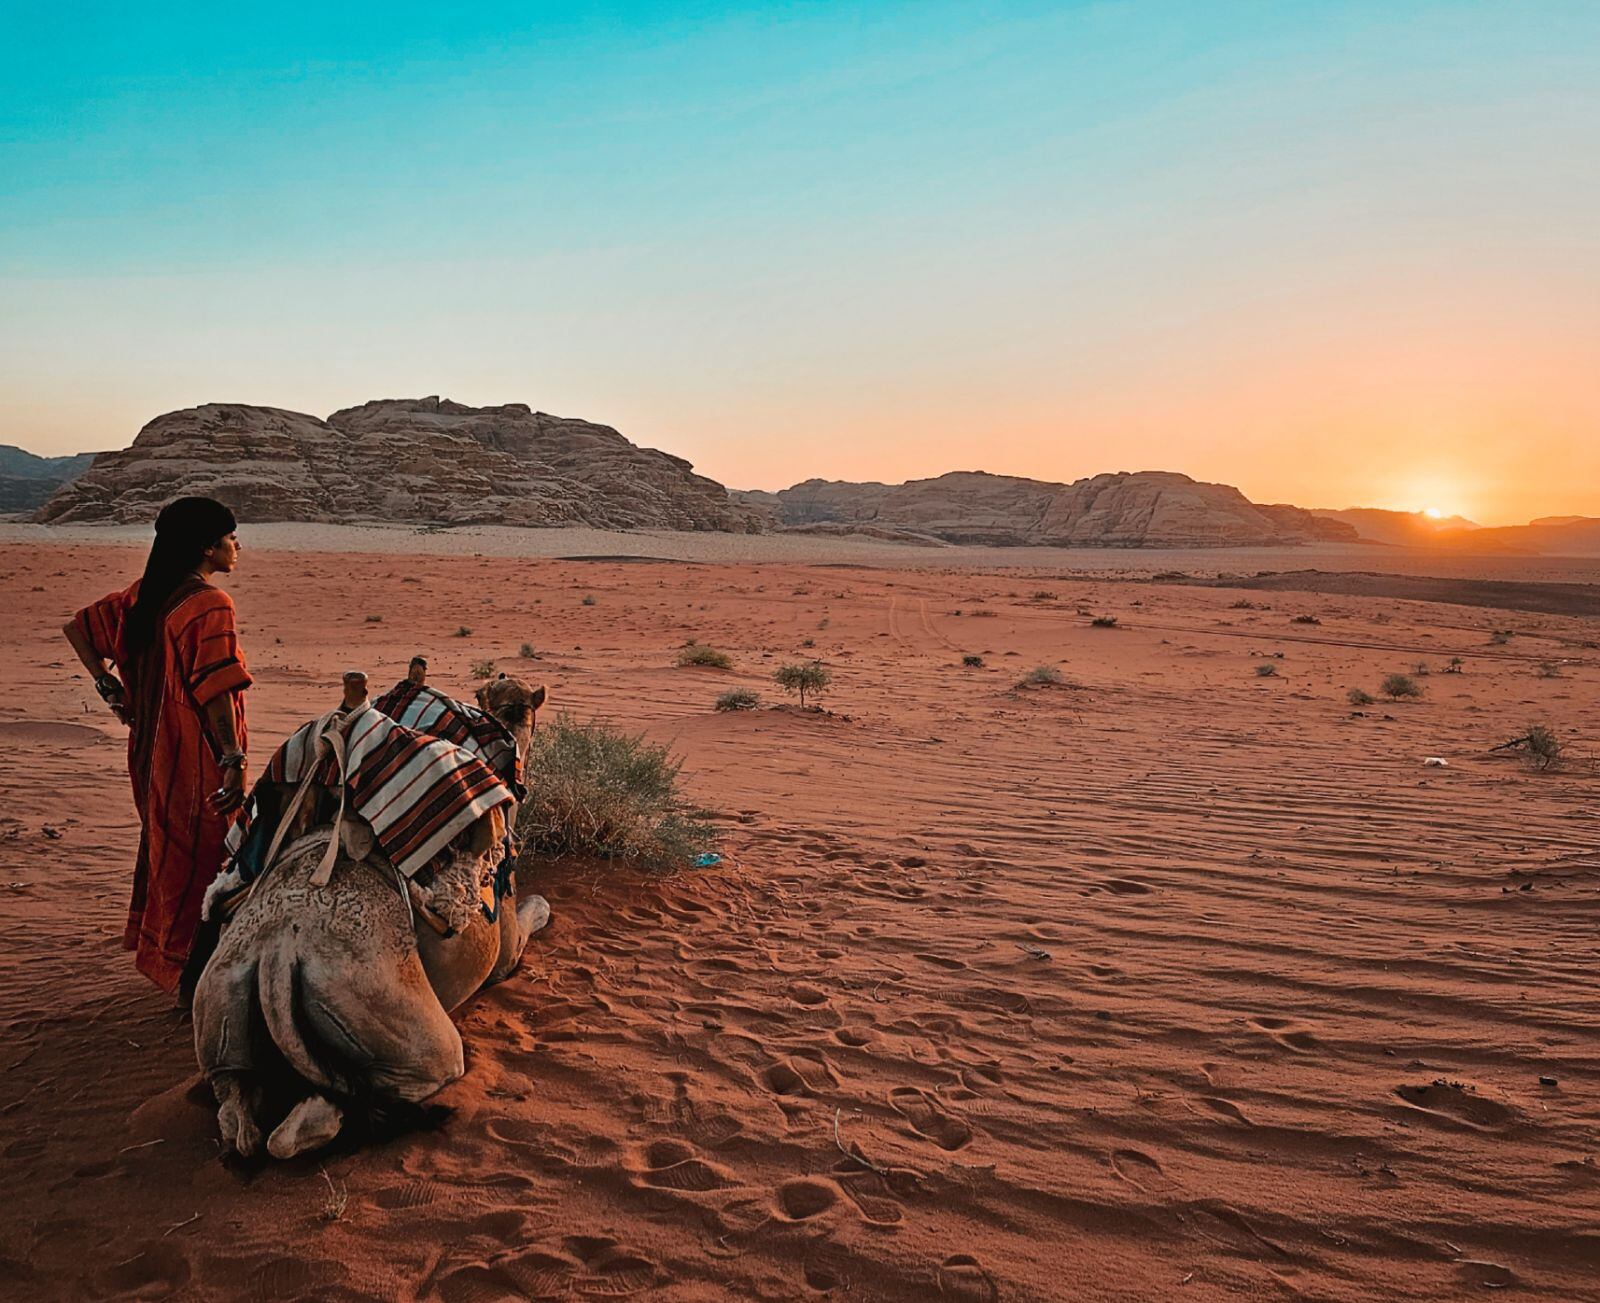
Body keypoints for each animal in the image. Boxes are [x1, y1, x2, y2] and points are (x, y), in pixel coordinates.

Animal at [194, 669, 550, 1158]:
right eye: (524, 708)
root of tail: (275, 958)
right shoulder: (505, 942)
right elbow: (536, 913)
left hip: (221, 1009)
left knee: (239, 1116)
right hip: (404, 1029)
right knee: (370, 1092)